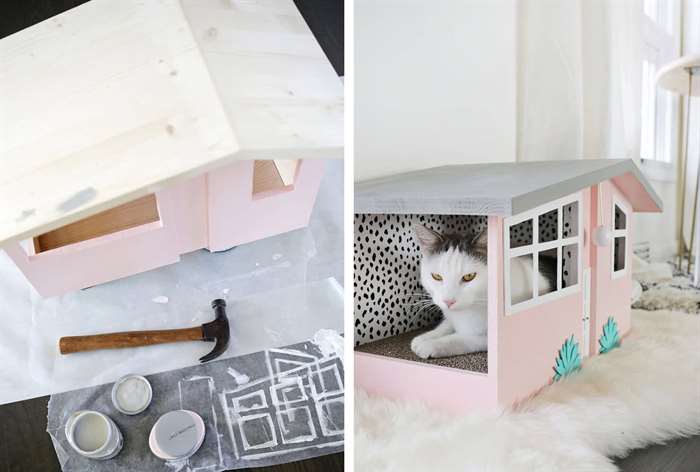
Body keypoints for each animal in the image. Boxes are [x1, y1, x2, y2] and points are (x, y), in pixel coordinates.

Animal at [410, 225, 552, 358]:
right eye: (436, 276)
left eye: (469, 276)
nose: (448, 301)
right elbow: (447, 324)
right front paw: (426, 336)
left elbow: (464, 338)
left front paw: (431, 344)